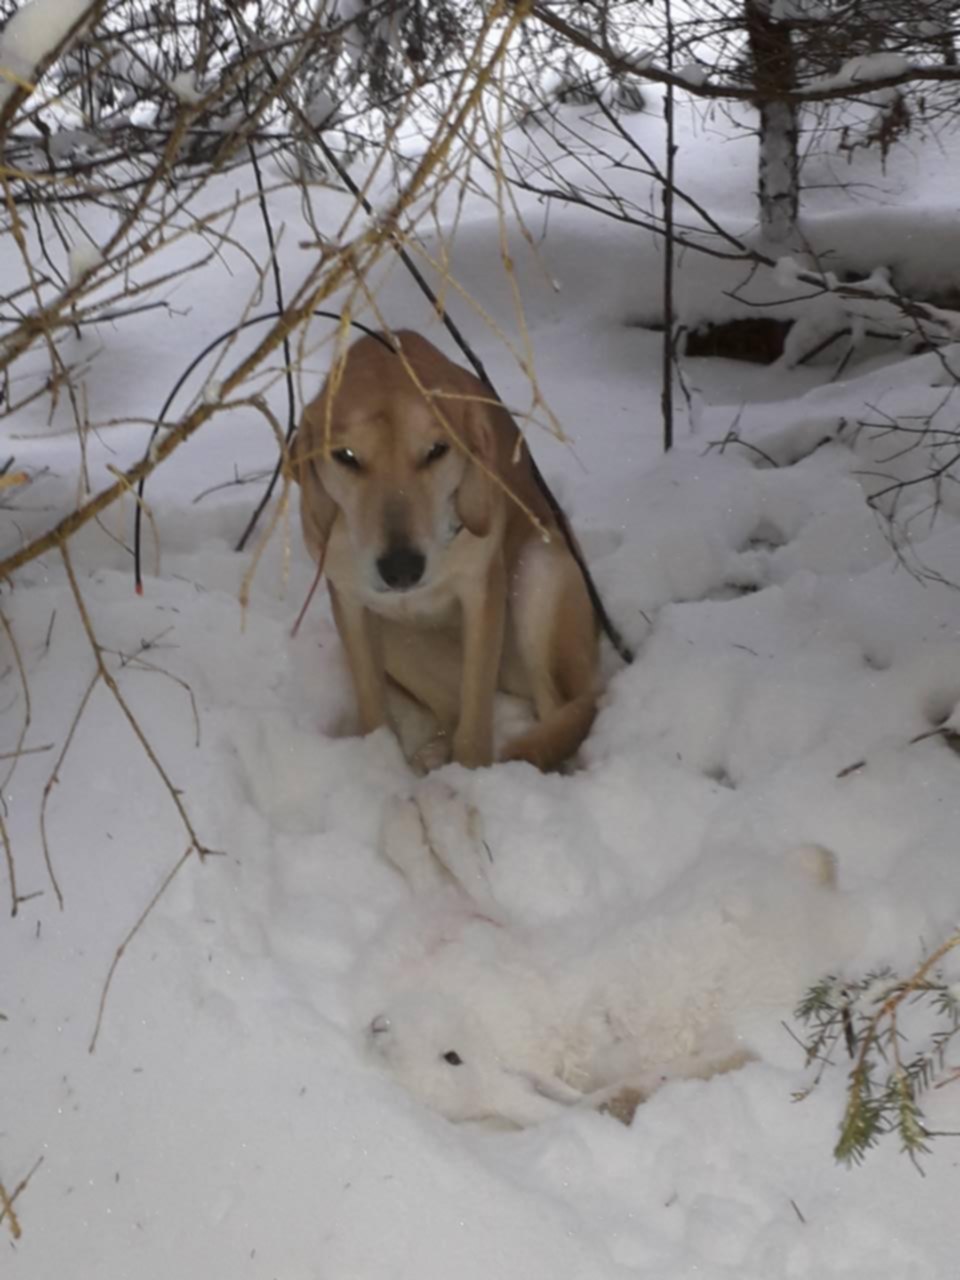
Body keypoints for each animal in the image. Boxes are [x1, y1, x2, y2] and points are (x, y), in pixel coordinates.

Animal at [293, 330, 599, 768]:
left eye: (437, 450)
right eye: (346, 456)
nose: (401, 568)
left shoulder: (481, 593)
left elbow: (475, 715)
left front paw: (472, 771)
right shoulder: (350, 603)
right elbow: (372, 706)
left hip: (538, 571)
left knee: (564, 710)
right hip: (398, 634)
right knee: (450, 710)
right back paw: (435, 753)